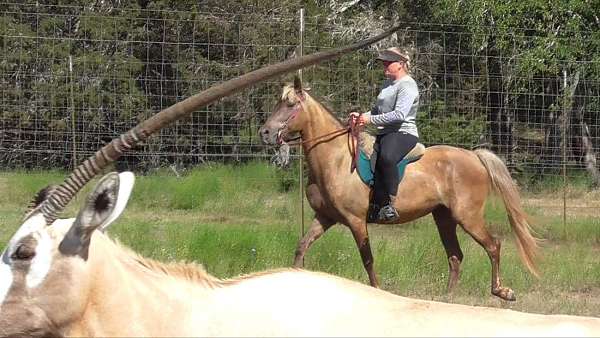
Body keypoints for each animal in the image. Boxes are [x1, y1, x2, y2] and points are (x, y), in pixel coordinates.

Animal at [260, 77, 540, 302]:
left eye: (290, 105)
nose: (265, 132)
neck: (336, 159)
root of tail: (474, 156)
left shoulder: (355, 221)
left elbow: (368, 260)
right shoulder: (325, 217)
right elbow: (302, 246)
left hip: (467, 216)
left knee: (493, 246)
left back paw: (502, 291)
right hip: (444, 218)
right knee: (455, 256)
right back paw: (447, 300)